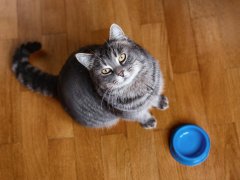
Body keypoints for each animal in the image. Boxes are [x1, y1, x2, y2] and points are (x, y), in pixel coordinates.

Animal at [11, 23, 169, 129]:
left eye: (122, 57)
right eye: (106, 71)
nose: (121, 72)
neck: (139, 85)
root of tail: (58, 81)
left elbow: (154, 97)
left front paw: (159, 101)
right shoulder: (129, 113)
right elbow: (141, 114)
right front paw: (148, 121)